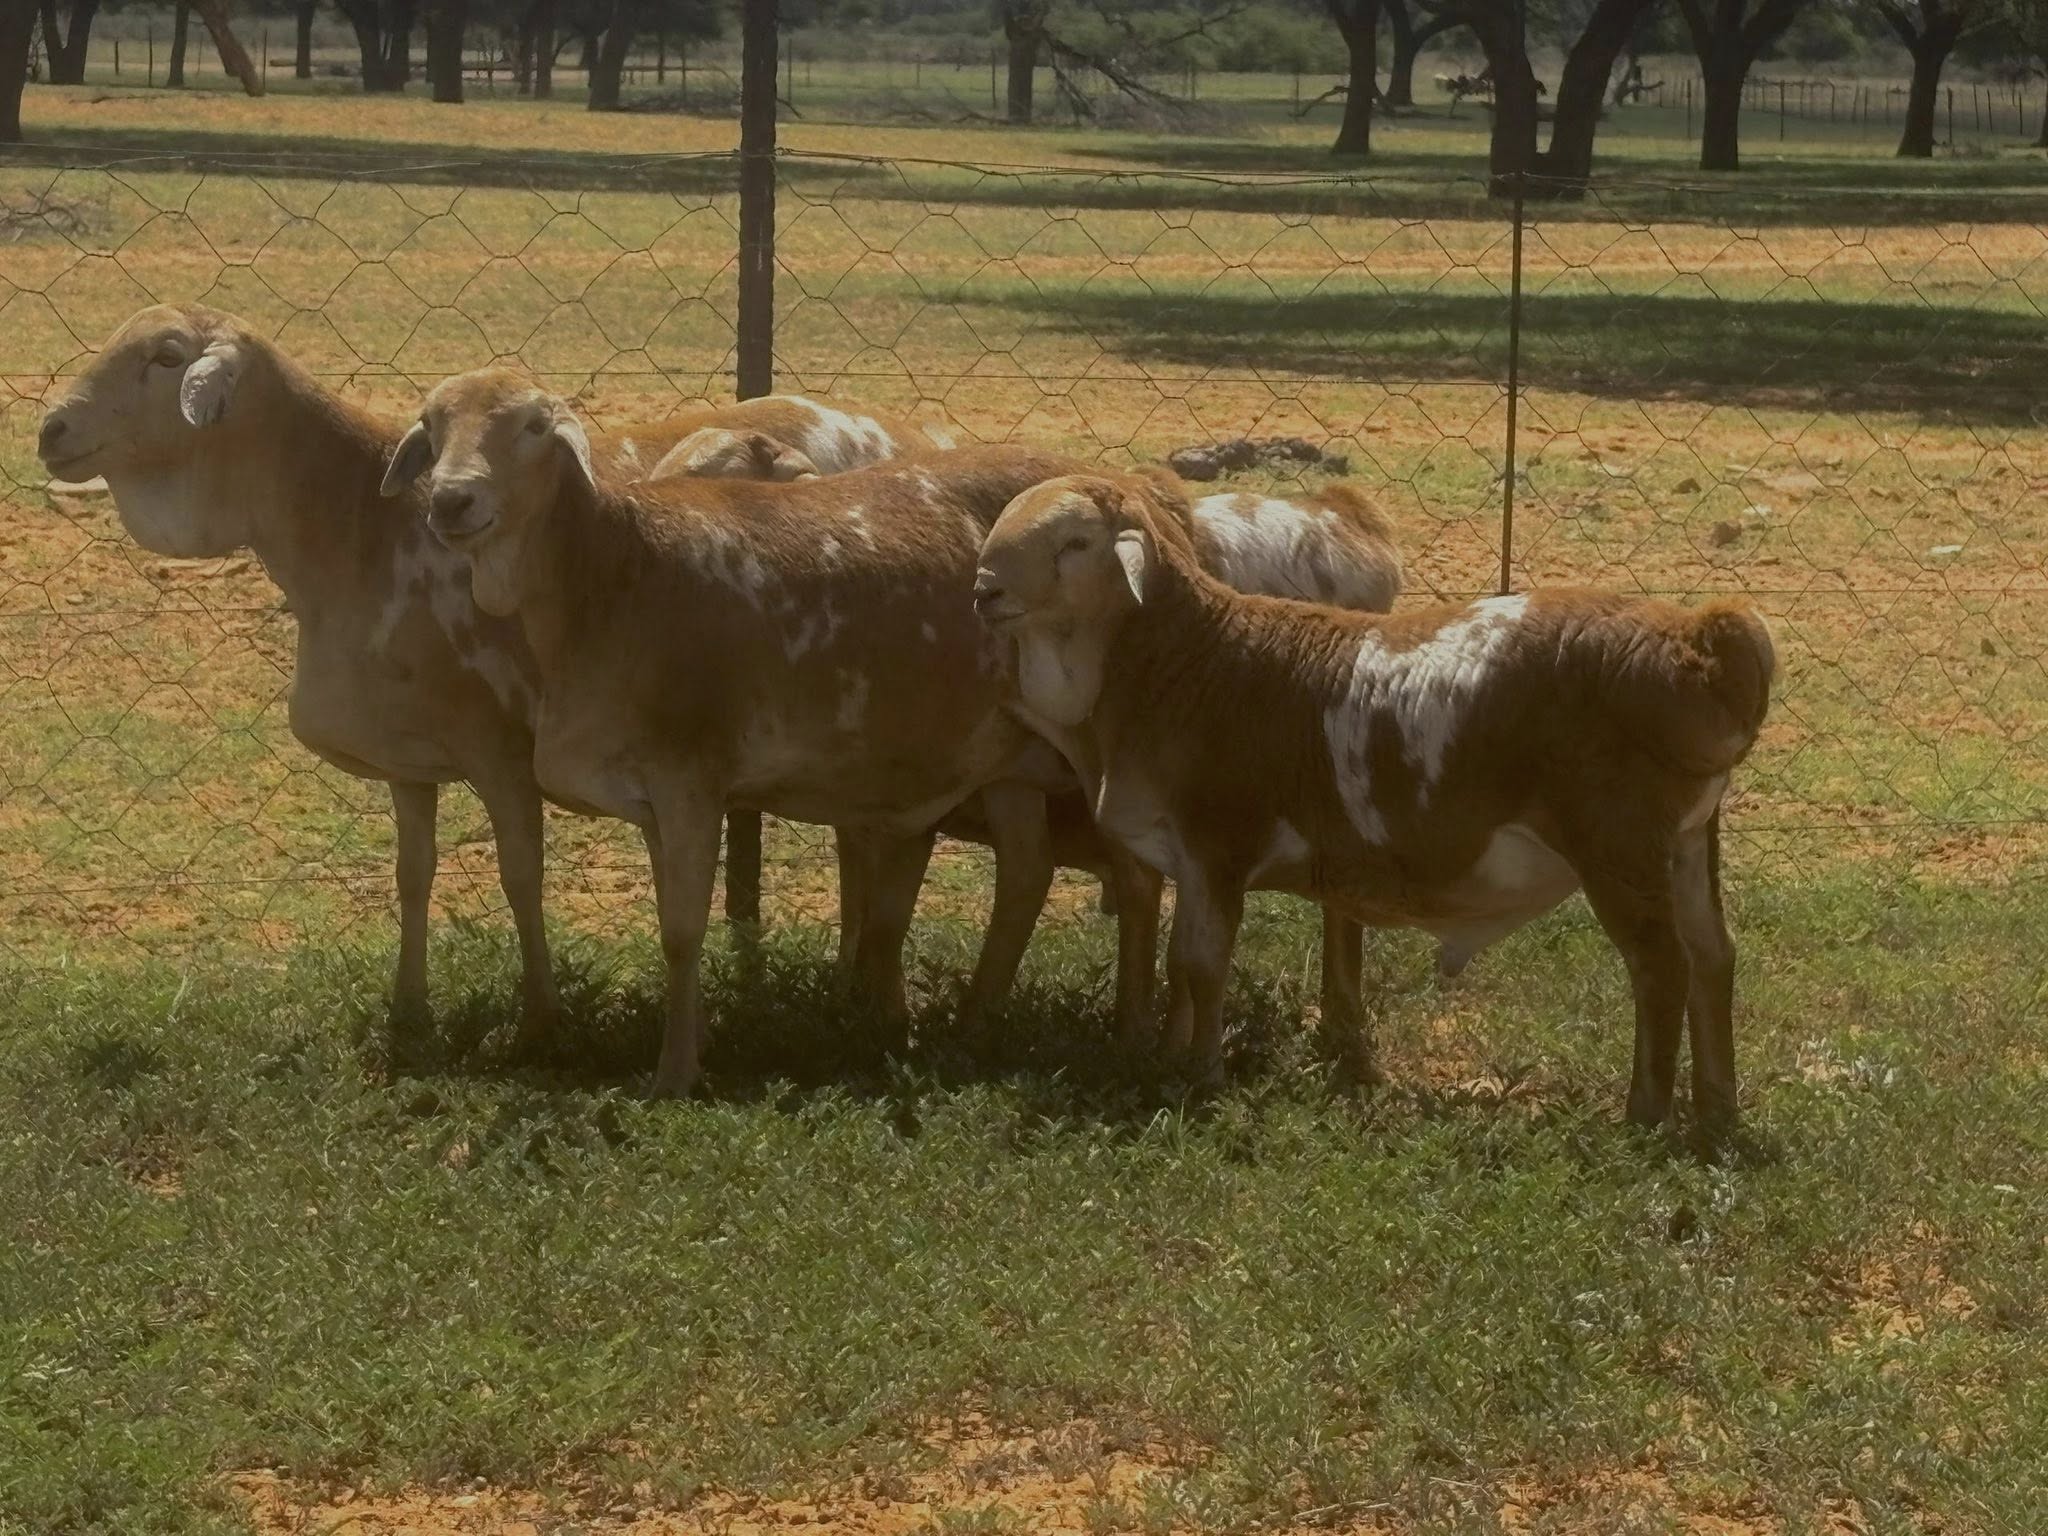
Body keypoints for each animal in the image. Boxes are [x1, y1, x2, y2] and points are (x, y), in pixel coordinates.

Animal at [380, 367, 1092, 1096]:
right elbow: (676, 918)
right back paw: (975, 1021)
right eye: (432, 426)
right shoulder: (652, 800)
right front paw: (692, 1045)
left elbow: (682, 932)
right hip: (1008, 759)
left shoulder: (690, 779)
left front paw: (674, 1074)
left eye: (533, 427)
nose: (452, 501)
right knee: (1025, 873)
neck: (612, 575)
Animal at [973, 475, 1774, 1132]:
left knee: (1660, 968)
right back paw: (1718, 1110)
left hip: (1618, 844)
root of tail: (1697, 644)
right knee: (1713, 958)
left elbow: (1203, 964)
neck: (1185, 661)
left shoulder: (1218, 840)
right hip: (1686, 843)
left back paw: (1646, 1118)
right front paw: (1173, 1057)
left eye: (1076, 542)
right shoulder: (1188, 854)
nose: (983, 590)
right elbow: (1179, 965)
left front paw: (1202, 1076)